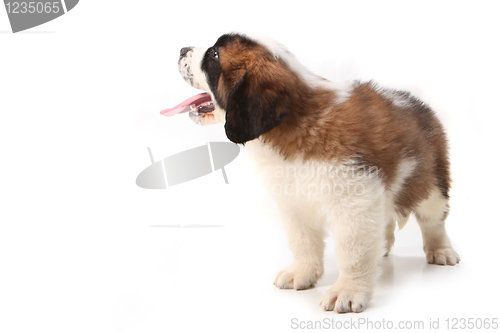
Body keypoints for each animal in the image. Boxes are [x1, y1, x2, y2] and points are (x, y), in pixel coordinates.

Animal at [173, 32, 460, 312]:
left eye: (213, 54)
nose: (182, 49)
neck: (294, 123)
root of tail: (419, 104)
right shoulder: (294, 203)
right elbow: (302, 241)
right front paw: (302, 272)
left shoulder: (356, 200)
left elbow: (352, 251)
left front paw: (348, 290)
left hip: (431, 184)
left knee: (433, 221)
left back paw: (441, 250)